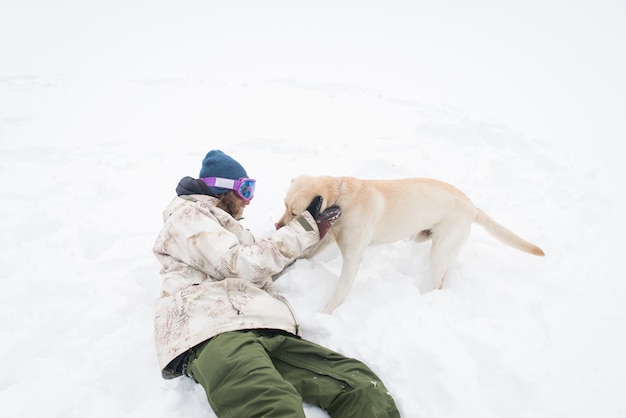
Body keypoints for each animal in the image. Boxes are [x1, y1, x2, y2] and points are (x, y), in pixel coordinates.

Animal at [276, 174, 544, 314]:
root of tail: (472, 207)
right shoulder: (330, 237)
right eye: (284, 206)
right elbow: (307, 255)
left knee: (439, 282)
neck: (342, 198)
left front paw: (326, 313)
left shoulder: (353, 257)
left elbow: (340, 291)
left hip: (439, 252)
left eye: (294, 212)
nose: (278, 226)